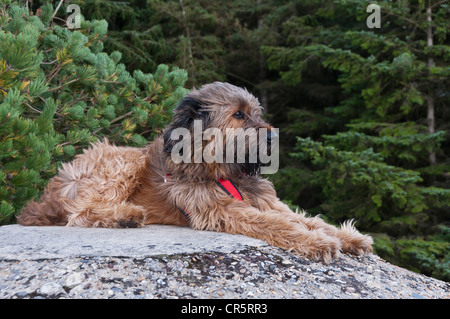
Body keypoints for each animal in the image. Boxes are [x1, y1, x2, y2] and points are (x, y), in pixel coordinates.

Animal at [17, 82, 372, 262]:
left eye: (257, 113)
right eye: (238, 114)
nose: (273, 137)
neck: (225, 171)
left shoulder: (267, 201)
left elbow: (306, 218)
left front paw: (346, 236)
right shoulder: (220, 209)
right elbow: (277, 224)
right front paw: (317, 243)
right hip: (122, 161)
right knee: (79, 214)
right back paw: (124, 215)